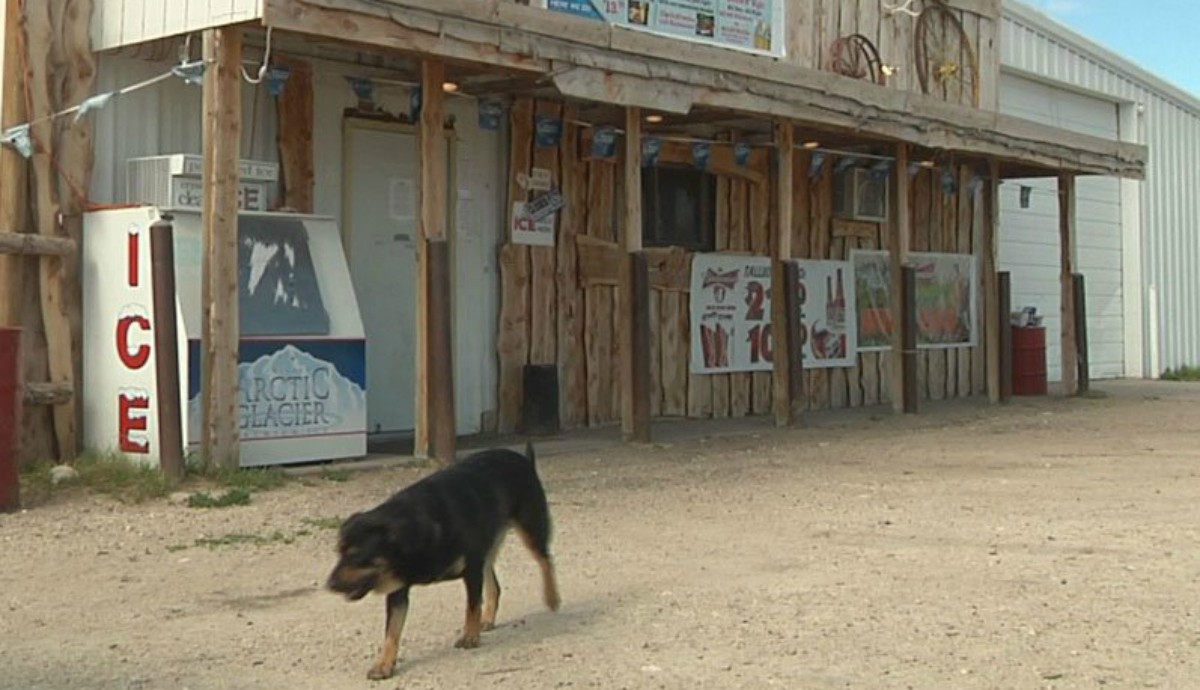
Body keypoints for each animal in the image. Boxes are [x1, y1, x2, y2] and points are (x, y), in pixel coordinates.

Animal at [328, 446, 561, 681]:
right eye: (338, 553)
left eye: (357, 556)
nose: (329, 585)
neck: (417, 531)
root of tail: (523, 458)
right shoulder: (398, 591)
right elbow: (391, 632)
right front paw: (384, 664)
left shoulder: (471, 570)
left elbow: (471, 607)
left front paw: (470, 636)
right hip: (488, 548)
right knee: (494, 583)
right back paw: (488, 617)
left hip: (531, 528)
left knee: (545, 560)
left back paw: (552, 598)